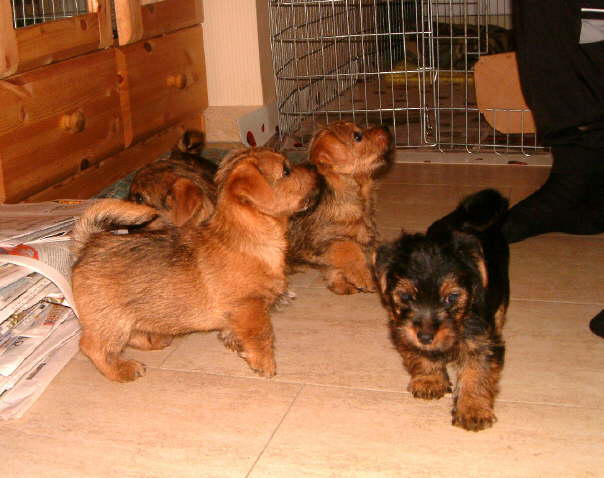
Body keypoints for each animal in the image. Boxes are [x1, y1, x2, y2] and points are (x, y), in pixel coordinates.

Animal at [71, 148, 316, 382]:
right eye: (286, 171)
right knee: (93, 347)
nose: (314, 167)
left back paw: (154, 341)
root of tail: (90, 242)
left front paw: (236, 343)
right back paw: (122, 371)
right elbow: (262, 336)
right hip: (111, 321)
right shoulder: (250, 307)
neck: (247, 238)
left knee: (132, 336)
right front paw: (264, 365)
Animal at [287, 121, 392, 294]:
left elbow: (335, 265)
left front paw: (340, 284)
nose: (386, 127)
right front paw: (364, 276)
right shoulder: (327, 238)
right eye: (357, 136)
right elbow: (350, 250)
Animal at [374, 189, 510, 431]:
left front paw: (473, 411)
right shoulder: (405, 330)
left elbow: (477, 371)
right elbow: (420, 352)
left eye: (451, 297)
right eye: (406, 296)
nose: (426, 337)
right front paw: (430, 380)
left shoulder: (480, 338)